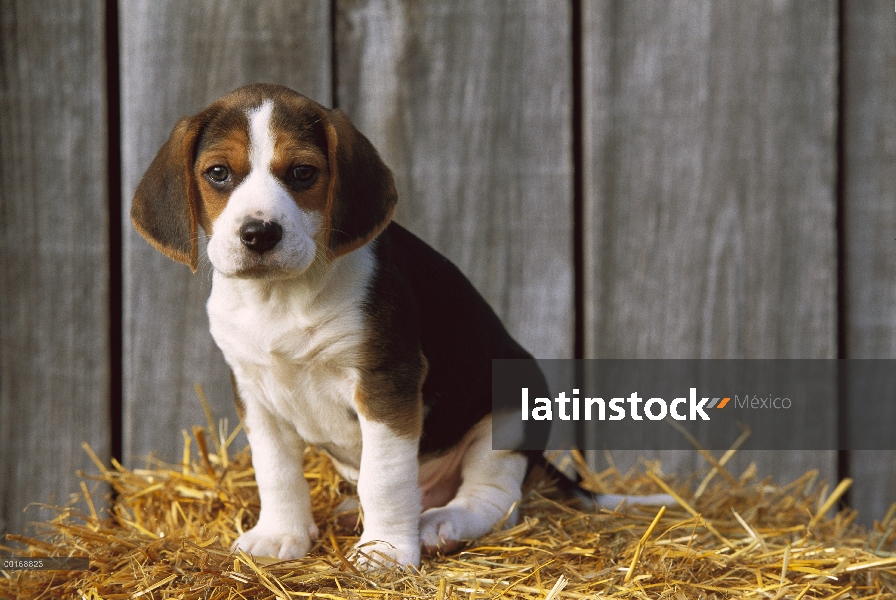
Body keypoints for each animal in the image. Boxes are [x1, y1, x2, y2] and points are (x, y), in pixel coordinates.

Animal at [130, 84, 544, 568]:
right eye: (217, 173)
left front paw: (384, 554)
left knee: (493, 498)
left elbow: (384, 477)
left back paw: (442, 524)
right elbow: (275, 471)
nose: (259, 233)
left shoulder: (386, 382)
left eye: (303, 173)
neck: (279, 297)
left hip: (509, 415)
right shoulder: (253, 390)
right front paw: (279, 534)